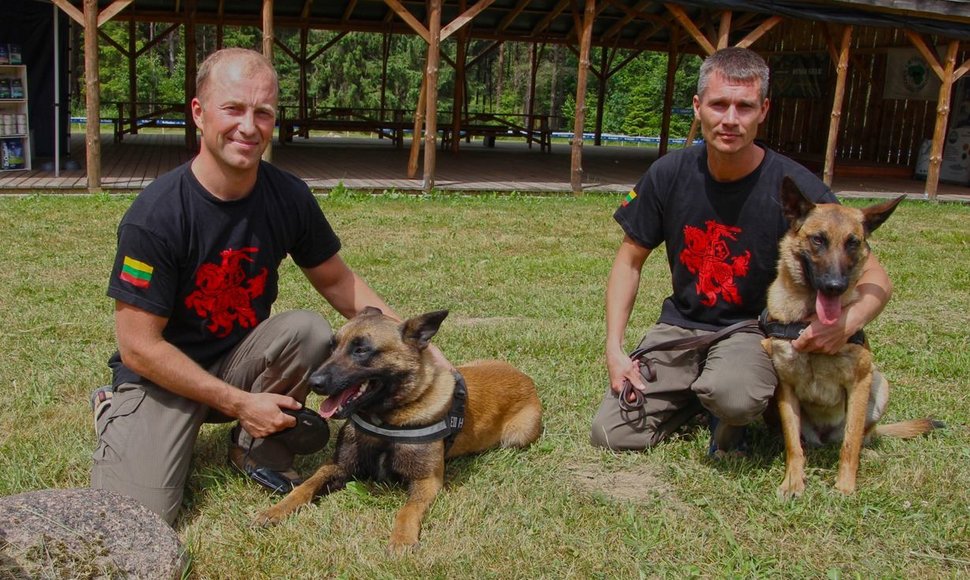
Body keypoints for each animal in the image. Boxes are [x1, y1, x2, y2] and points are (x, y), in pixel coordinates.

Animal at [253, 306, 540, 552]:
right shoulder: (338, 466)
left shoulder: (426, 482)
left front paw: (402, 540)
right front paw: (275, 510)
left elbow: (407, 510)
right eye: (332, 346)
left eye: (361, 350)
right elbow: (305, 486)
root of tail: (526, 379)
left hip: (517, 436)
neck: (386, 420)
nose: (314, 382)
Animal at [764, 179, 936, 500]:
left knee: (863, 436)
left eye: (852, 242)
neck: (809, 318)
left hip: (880, 384)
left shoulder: (860, 382)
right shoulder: (786, 385)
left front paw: (845, 486)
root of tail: (823, 438)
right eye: (818, 239)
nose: (835, 286)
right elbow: (793, 444)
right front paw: (793, 481)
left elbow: (851, 441)